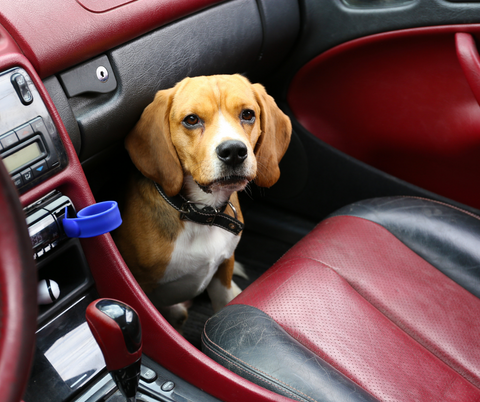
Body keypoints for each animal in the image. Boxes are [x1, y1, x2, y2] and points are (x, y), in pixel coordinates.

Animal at [114, 74, 290, 330]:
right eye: (191, 119)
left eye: (248, 114)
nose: (234, 151)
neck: (202, 212)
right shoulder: (139, 286)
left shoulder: (223, 269)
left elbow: (223, 300)